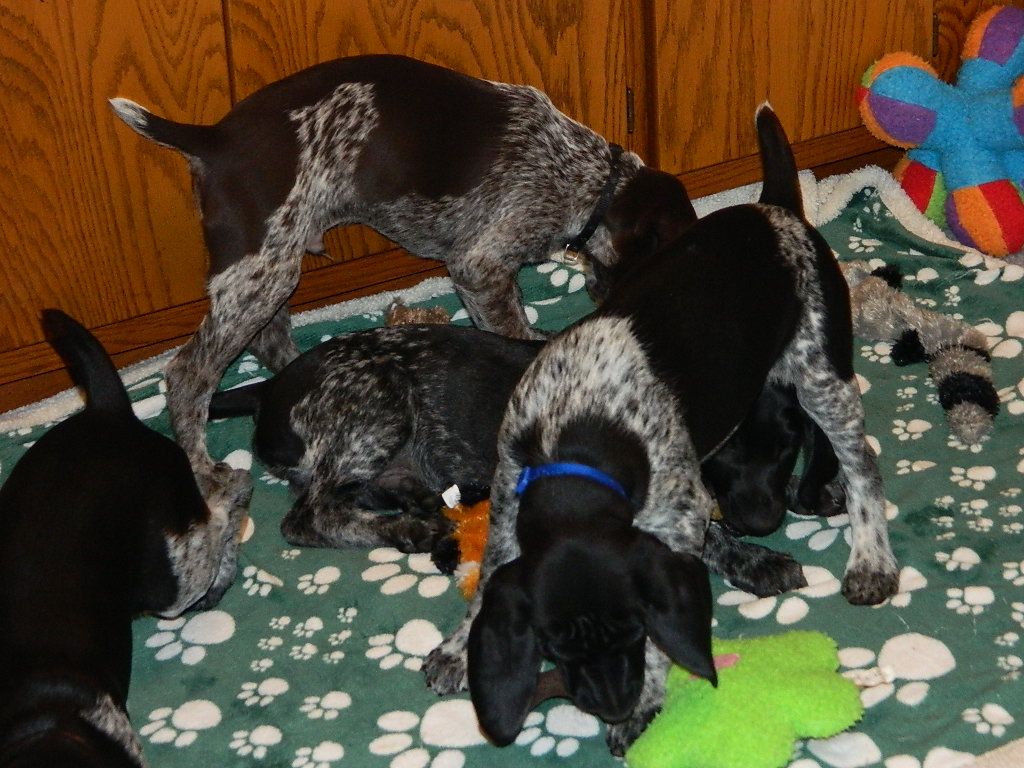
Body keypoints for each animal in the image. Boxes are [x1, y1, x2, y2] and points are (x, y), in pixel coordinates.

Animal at [109, 54, 695, 494]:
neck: (590, 179)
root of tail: (215, 138)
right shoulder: (480, 263)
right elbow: (514, 333)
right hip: (262, 268)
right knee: (188, 375)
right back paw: (202, 467)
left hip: (274, 263)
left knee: (270, 342)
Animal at [422, 105, 900, 755]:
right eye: (553, 646)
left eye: (626, 634)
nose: (609, 704)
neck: (576, 438)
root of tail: (773, 210)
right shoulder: (506, 498)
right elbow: (492, 575)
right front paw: (457, 644)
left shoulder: (677, 516)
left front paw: (645, 699)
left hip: (822, 371)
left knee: (861, 463)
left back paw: (870, 558)